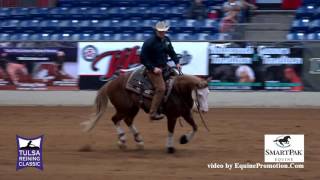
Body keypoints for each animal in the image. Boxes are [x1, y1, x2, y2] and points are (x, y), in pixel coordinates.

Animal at [81, 69, 209, 153]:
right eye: (200, 94)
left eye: (208, 93)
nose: (205, 110)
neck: (177, 91)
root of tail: (111, 83)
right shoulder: (172, 116)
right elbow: (170, 131)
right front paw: (170, 148)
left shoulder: (186, 113)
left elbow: (195, 127)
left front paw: (184, 139)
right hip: (123, 108)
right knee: (115, 119)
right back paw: (122, 140)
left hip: (133, 108)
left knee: (128, 120)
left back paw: (139, 141)